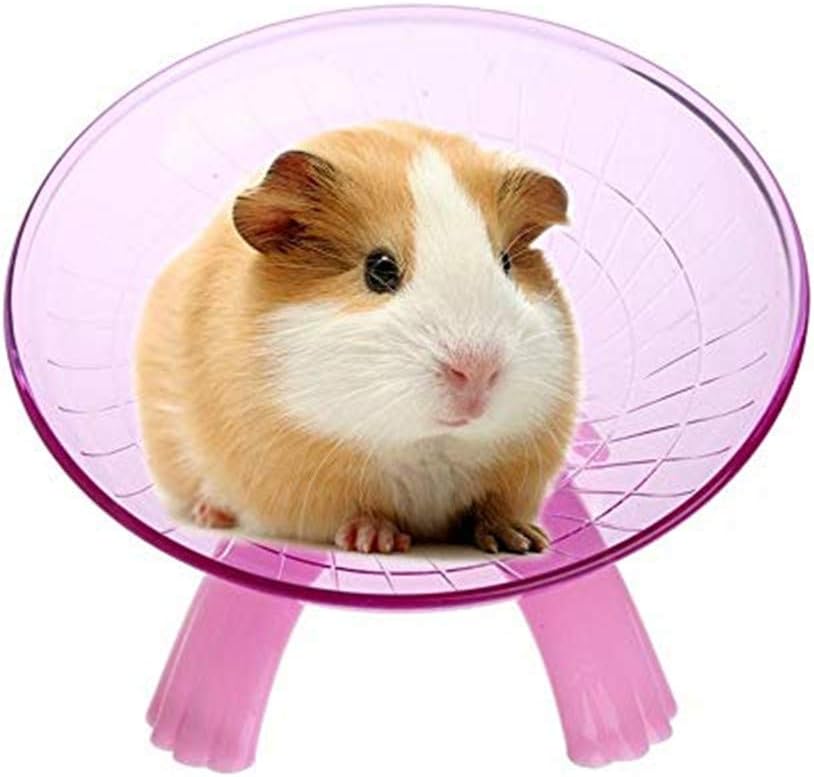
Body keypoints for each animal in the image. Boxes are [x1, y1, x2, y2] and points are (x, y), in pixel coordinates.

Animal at [135, 121, 578, 554]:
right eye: (379, 269)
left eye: (506, 263)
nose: (478, 371)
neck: (431, 444)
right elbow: (359, 511)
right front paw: (376, 541)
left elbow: (493, 508)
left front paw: (523, 541)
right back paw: (211, 514)